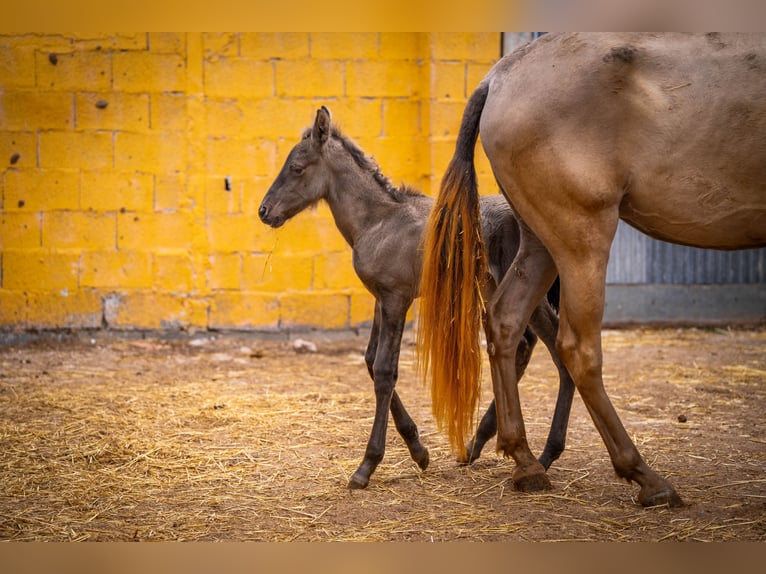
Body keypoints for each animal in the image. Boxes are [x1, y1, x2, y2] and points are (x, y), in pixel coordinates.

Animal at [260, 107, 576, 490]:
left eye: (297, 167)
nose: (264, 211)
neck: (379, 220)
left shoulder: (397, 298)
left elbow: (385, 370)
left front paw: (367, 466)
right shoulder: (381, 298)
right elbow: (370, 361)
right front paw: (419, 450)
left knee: (556, 351)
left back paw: (540, 456)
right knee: (525, 344)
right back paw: (485, 444)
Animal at [420, 31, 766, 508]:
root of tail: (499, 76)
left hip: (539, 243)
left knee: (506, 322)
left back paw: (526, 461)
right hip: (582, 239)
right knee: (578, 349)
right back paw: (643, 476)